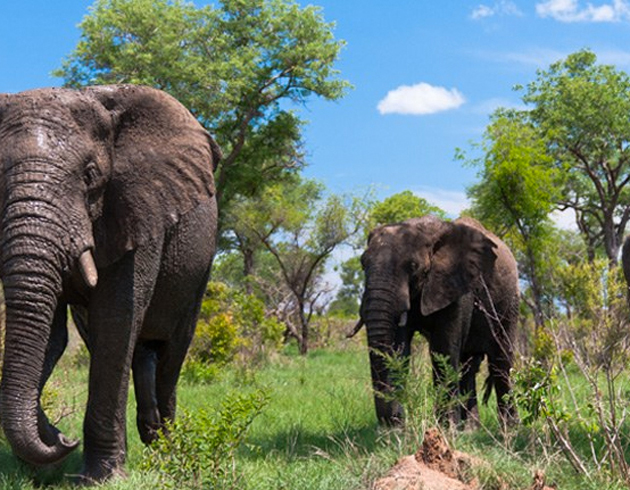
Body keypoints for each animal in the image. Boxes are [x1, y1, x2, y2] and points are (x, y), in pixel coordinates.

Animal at [0, 84, 222, 482]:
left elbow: (116, 320)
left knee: (173, 350)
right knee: (139, 351)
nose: (64, 437)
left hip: (202, 266)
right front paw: (46, 458)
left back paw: (165, 448)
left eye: (90, 175)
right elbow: (54, 336)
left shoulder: (138, 208)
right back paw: (152, 434)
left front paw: (100, 478)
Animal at [356, 216, 524, 426]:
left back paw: (509, 427)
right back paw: (470, 428)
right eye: (363, 264)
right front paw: (397, 429)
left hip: (510, 304)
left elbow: (443, 349)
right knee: (468, 365)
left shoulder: (456, 286)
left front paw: (445, 427)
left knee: (500, 360)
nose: (397, 419)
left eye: (413, 266)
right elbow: (397, 347)